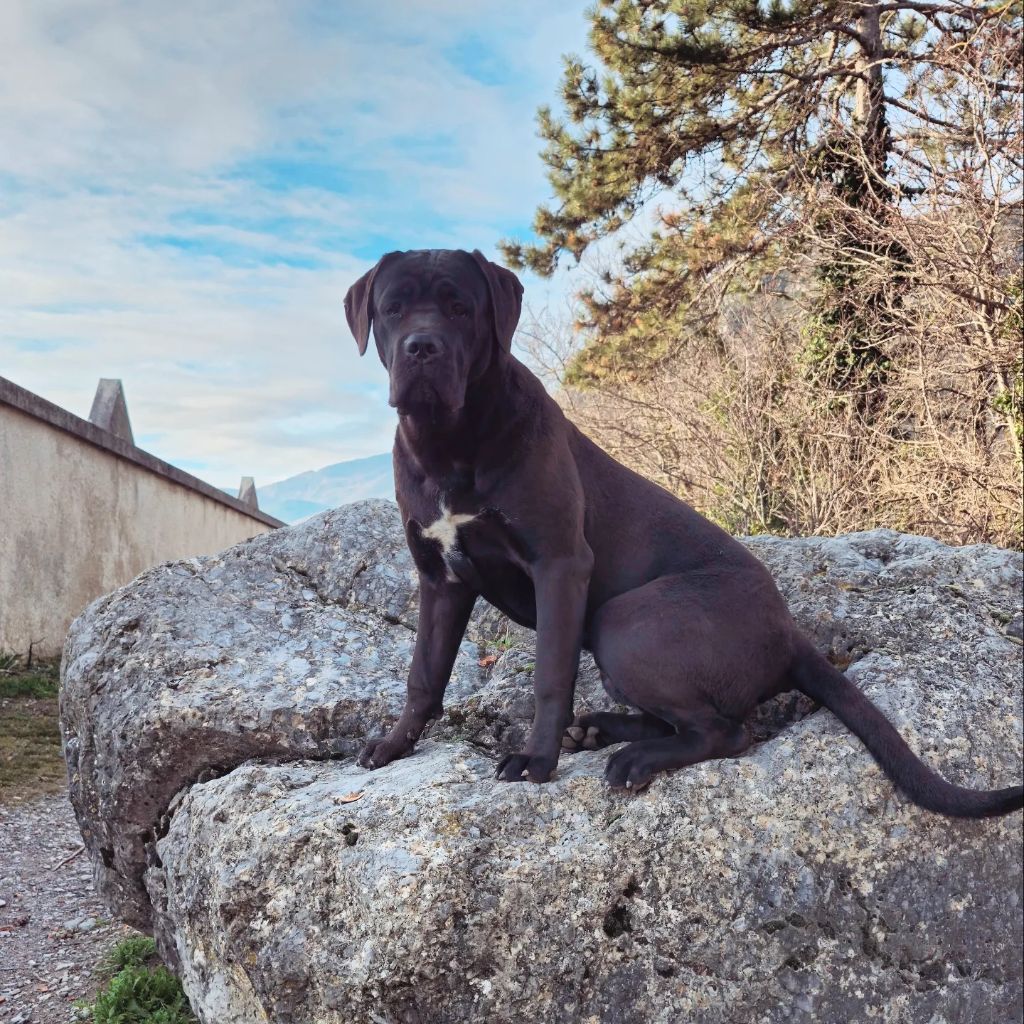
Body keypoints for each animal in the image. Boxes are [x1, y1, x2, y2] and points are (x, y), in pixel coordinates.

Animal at [346, 245, 1024, 815]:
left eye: (460, 308)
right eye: (393, 309)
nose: (422, 347)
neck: (450, 442)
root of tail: (789, 633)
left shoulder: (559, 566)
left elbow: (549, 675)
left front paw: (537, 759)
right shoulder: (439, 579)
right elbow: (424, 674)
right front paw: (396, 743)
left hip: (624, 622)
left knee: (727, 729)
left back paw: (634, 754)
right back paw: (603, 729)